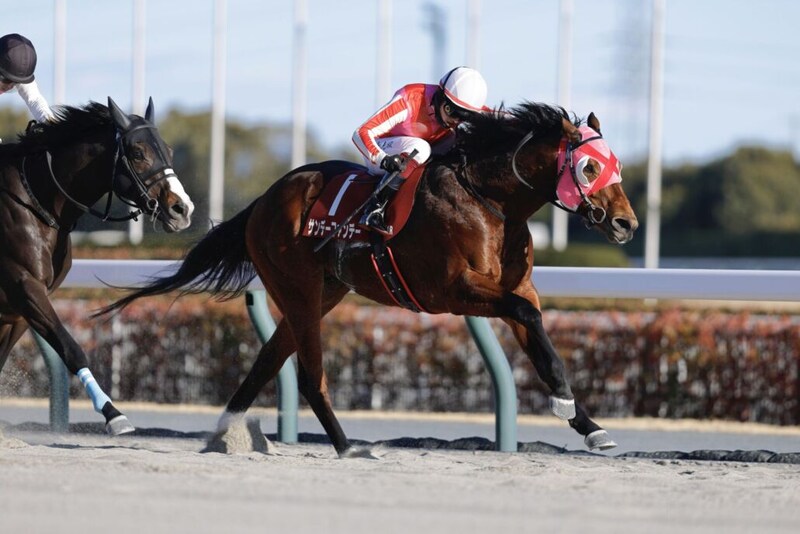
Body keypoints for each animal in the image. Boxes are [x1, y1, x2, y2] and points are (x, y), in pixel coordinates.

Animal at [0, 97, 194, 435]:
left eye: (168, 151)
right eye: (138, 152)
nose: (182, 209)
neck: (36, 202)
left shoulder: (20, 306)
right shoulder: (23, 285)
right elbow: (71, 348)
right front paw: (114, 414)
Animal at [99, 102, 637, 454]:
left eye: (616, 166)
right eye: (590, 168)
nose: (627, 223)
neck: (487, 200)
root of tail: (266, 198)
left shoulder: (514, 290)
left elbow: (543, 345)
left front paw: (588, 424)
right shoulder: (451, 291)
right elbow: (528, 318)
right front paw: (567, 407)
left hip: (322, 292)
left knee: (269, 360)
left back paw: (222, 436)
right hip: (299, 287)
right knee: (309, 374)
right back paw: (346, 446)